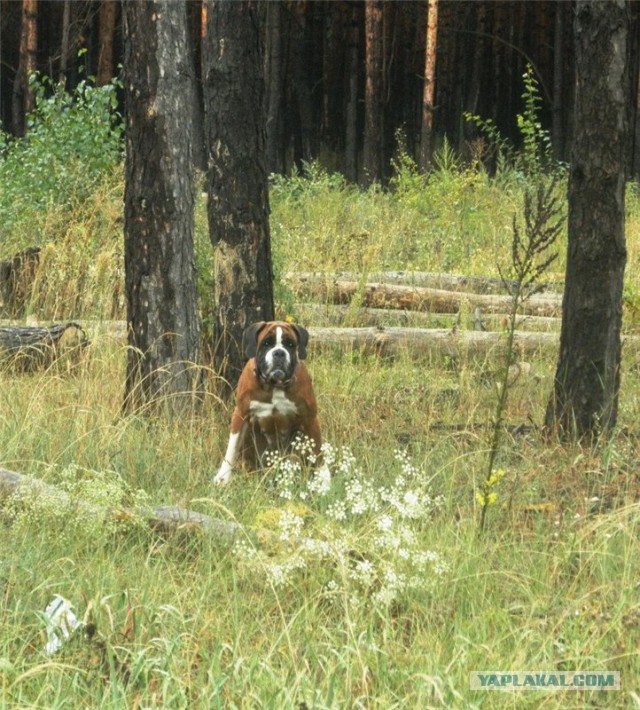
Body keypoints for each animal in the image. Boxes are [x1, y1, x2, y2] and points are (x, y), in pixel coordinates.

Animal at [214, 324, 322, 486]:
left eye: (290, 344)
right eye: (266, 343)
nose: (279, 353)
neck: (274, 386)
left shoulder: (310, 420)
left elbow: (319, 454)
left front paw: (324, 481)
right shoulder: (240, 414)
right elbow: (231, 448)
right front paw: (223, 477)